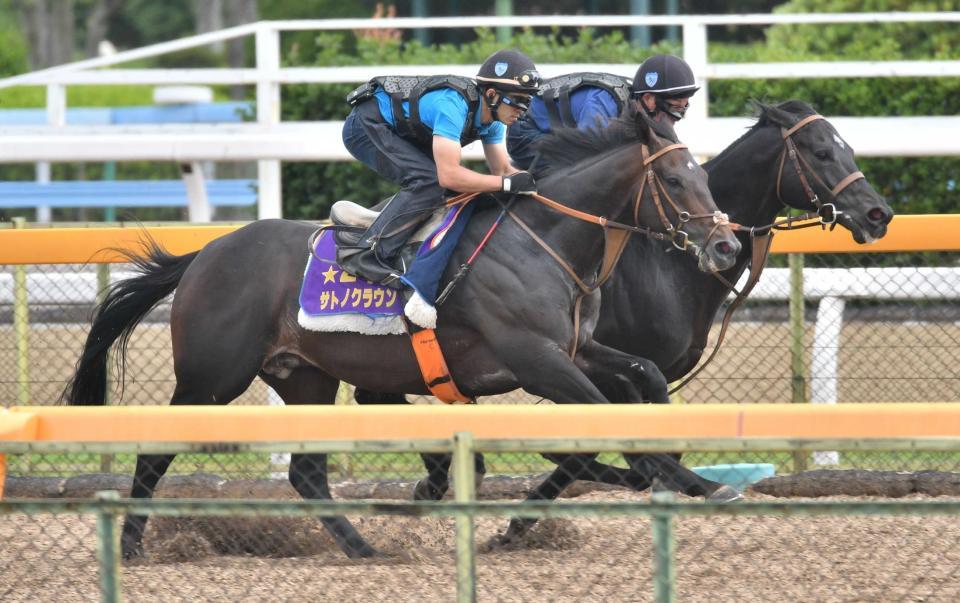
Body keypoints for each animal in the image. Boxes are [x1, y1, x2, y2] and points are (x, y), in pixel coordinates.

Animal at [65, 111, 744, 560]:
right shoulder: (536, 358)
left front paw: (680, 471)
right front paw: (688, 479)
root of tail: (204, 253)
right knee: (157, 449)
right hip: (213, 378)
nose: (726, 246)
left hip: (307, 378)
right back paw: (130, 546)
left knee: (306, 475)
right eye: (676, 182)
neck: (545, 241)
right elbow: (602, 423)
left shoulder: (577, 348)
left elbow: (642, 377)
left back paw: (364, 548)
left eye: (706, 178)